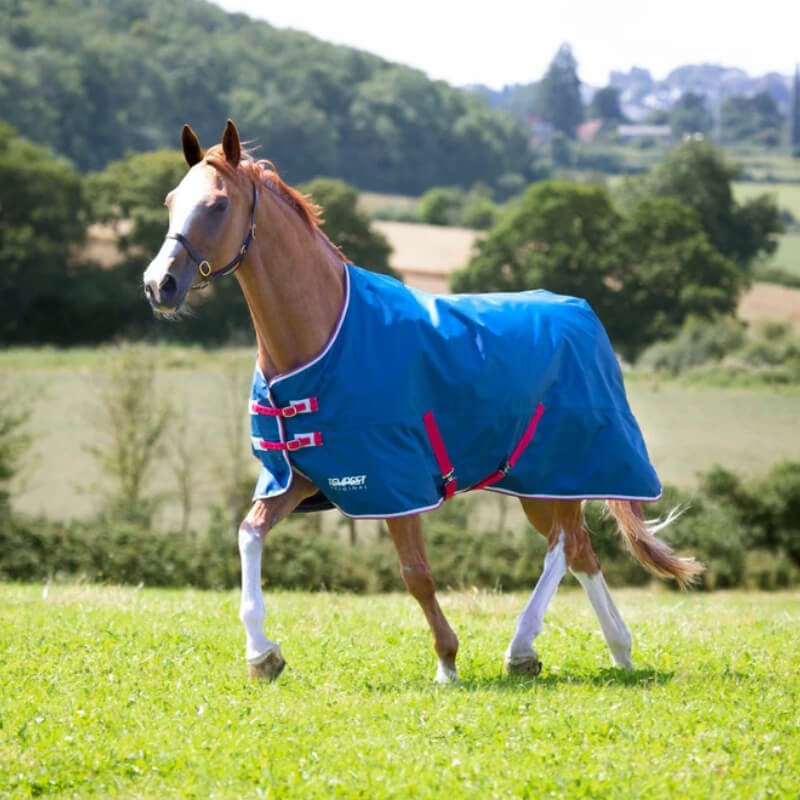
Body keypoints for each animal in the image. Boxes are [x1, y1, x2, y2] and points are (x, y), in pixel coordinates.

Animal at [143, 119, 702, 684]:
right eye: (170, 201)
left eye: (217, 205)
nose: (158, 284)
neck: (324, 335)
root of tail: (584, 315)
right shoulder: (297, 477)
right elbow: (249, 534)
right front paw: (263, 655)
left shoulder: (397, 483)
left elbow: (416, 574)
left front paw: (447, 661)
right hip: (540, 483)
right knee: (580, 550)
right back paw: (619, 650)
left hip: (564, 468)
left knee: (562, 547)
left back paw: (523, 648)